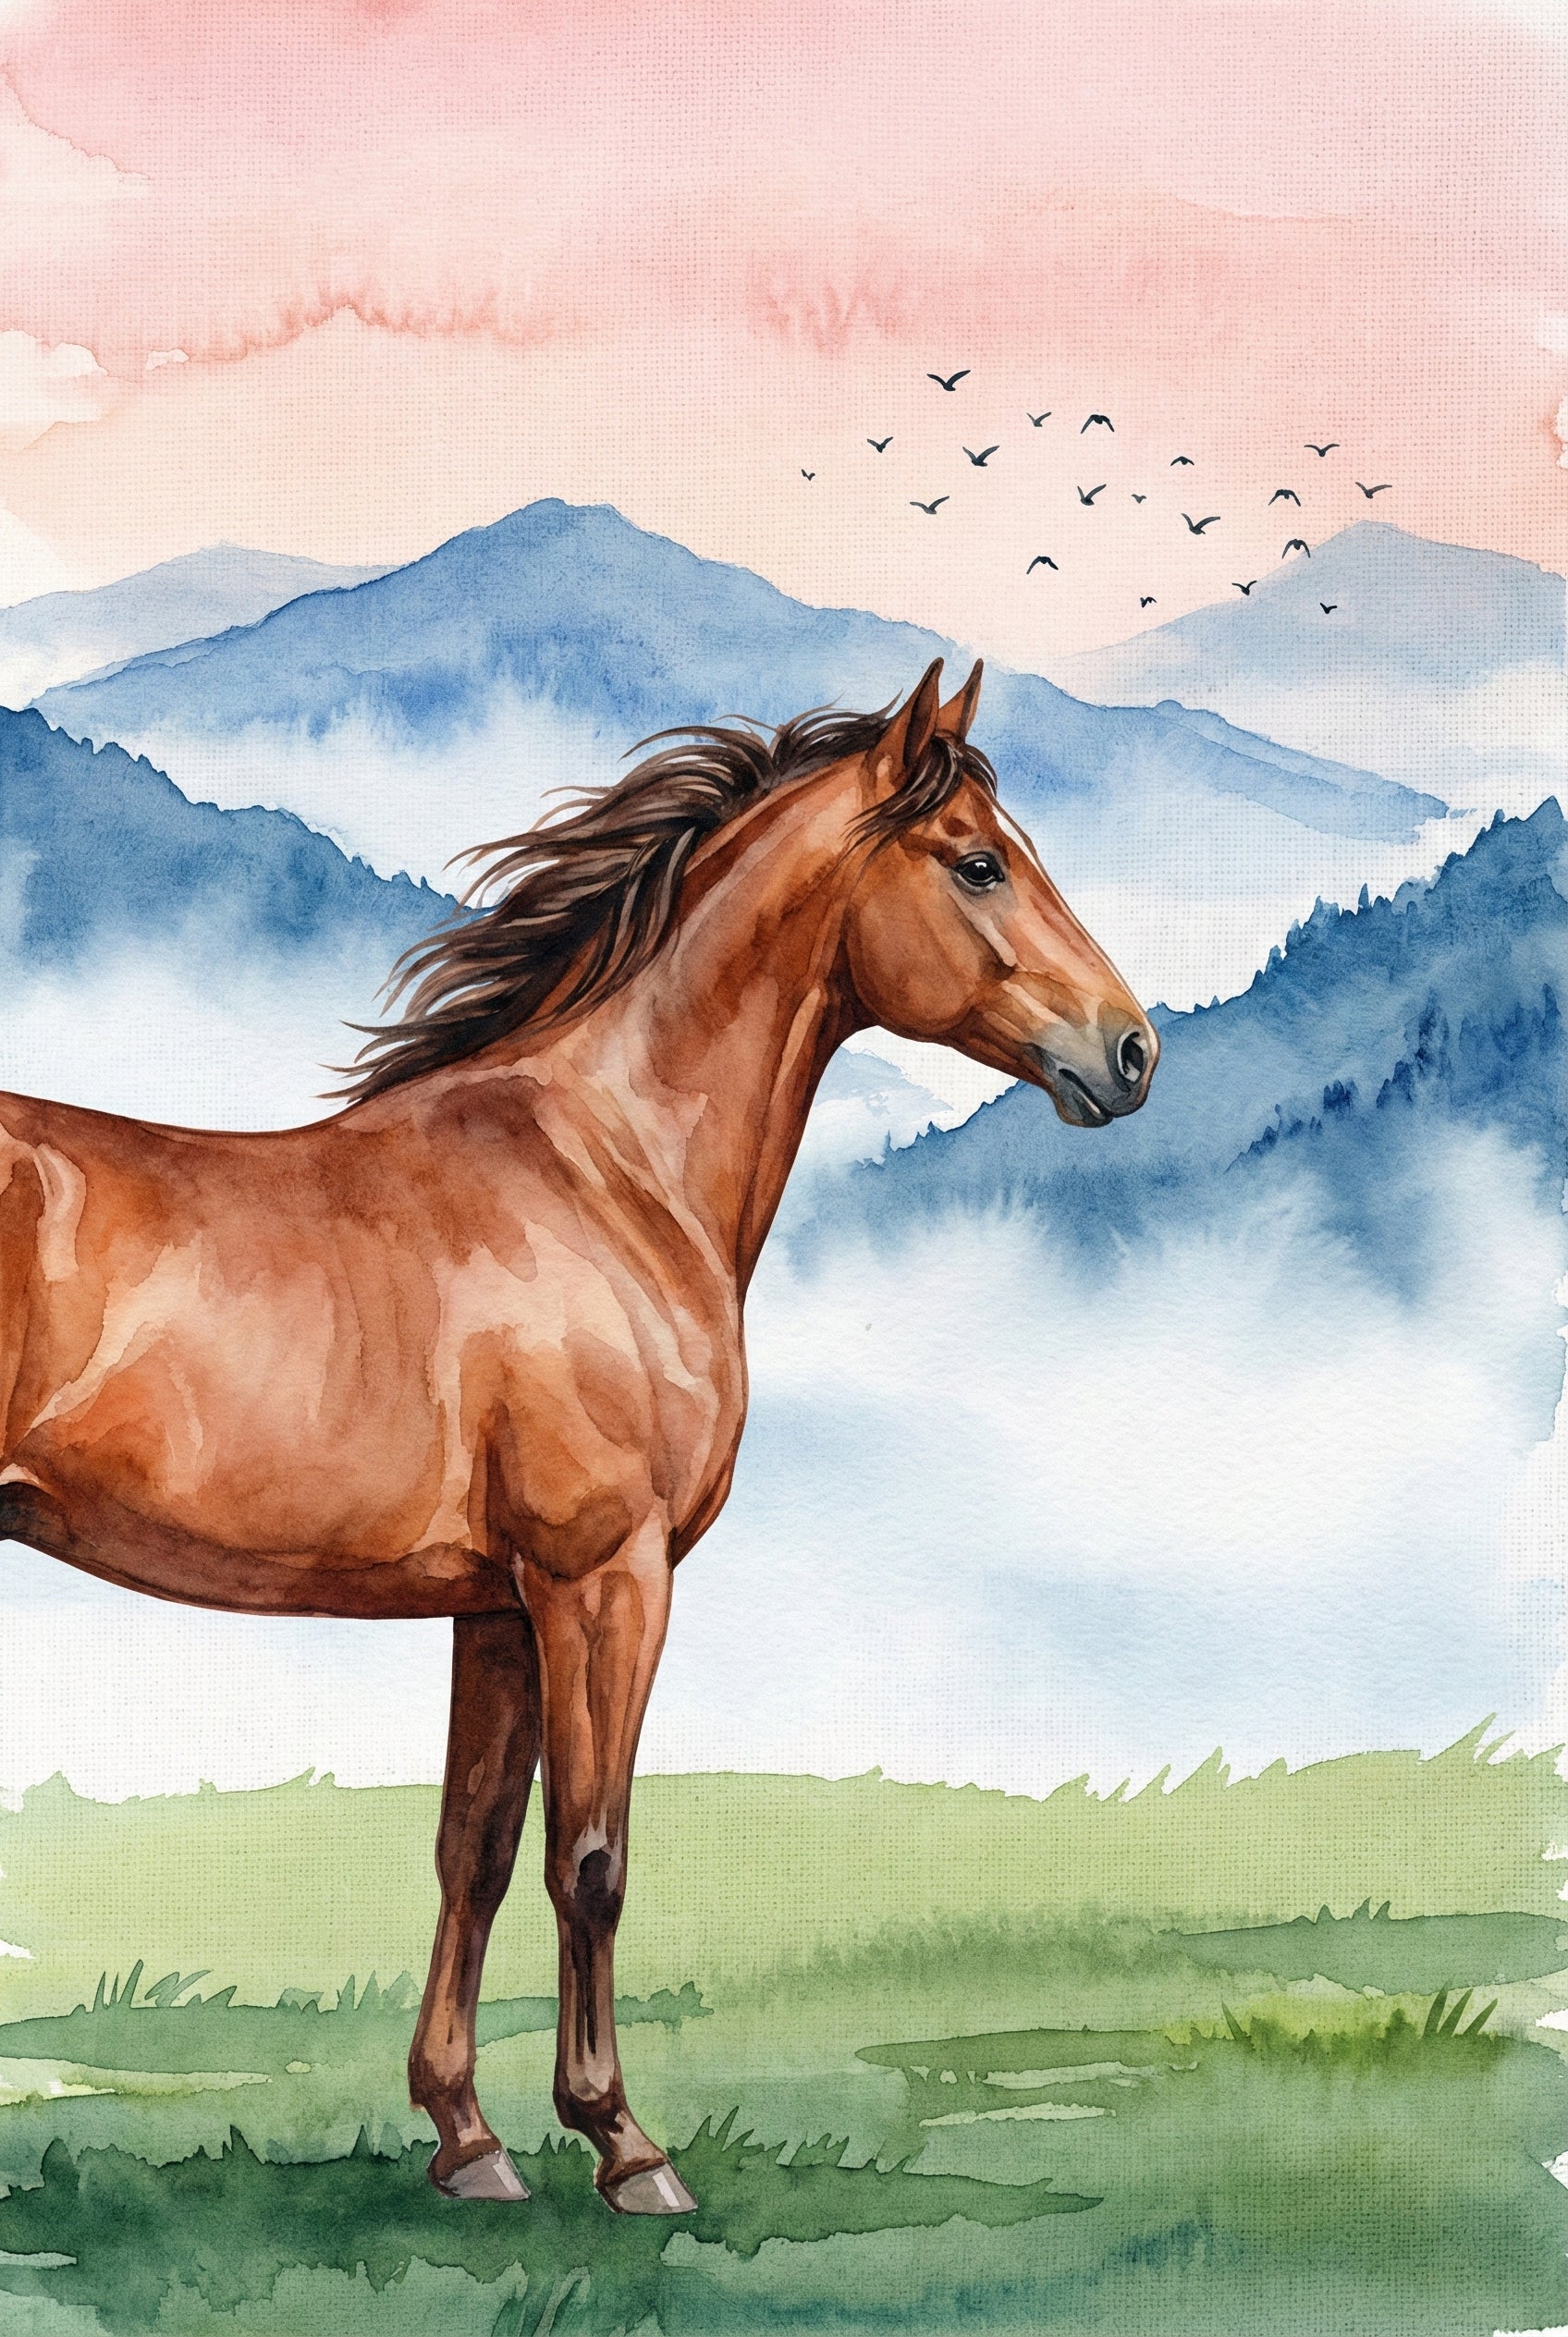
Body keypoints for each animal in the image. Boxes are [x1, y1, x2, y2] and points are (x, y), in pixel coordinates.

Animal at [0, 657, 1156, 2214]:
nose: (1132, 1050)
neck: (608, 1171)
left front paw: (468, 2140)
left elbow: (474, 1852)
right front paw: (625, 2149)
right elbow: (591, 1858)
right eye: (978, 862)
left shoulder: (494, 1608)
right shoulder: (606, 1580)